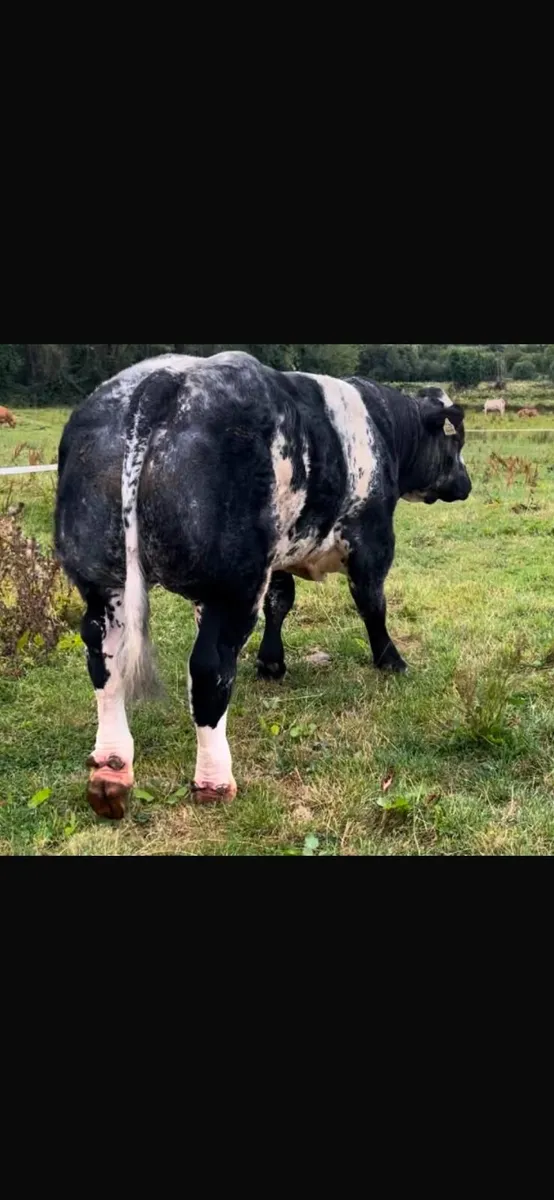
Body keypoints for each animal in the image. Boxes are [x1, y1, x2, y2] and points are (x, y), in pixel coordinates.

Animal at [55, 353, 472, 820]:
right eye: (456, 444)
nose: (466, 483)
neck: (384, 428)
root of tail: (164, 378)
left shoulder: (275, 560)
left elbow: (281, 602)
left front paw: (271, 662)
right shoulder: (371, 540)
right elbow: (372, 605)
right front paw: (391, 661)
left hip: (101, 578)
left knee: (103, 655)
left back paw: (111, 770)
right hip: (234, 585)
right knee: (209, 666)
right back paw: (214, 782)